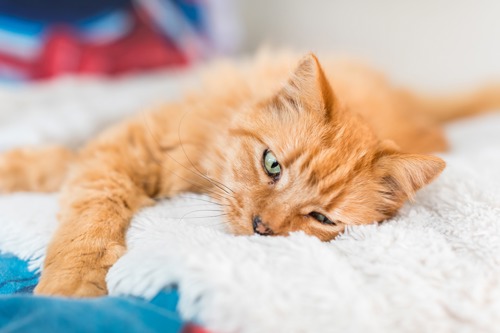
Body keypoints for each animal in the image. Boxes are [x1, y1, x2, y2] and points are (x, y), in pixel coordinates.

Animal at [0, 51, 500, 296]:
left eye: (321, 219)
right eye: (272, 164)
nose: (262, 226)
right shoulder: (127, 149)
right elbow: (83, 215)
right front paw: (68, 288)